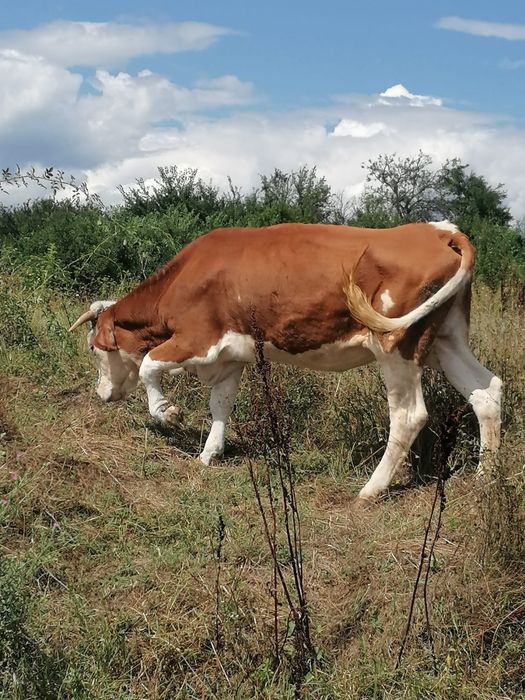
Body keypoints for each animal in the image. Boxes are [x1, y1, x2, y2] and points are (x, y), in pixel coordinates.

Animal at [69, 222, 501, 501]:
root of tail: (439, 230)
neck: (186, 276)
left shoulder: (197, 340)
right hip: (445, 340)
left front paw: (167, 413)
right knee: (486, 392)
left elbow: (148, 366)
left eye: (94, 348)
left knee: (409, 416)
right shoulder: (230, 355)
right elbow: (220, 404)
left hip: (397, 345)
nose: (102, 393)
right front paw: (209, 454)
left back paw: (371, 489)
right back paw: (486, 477)